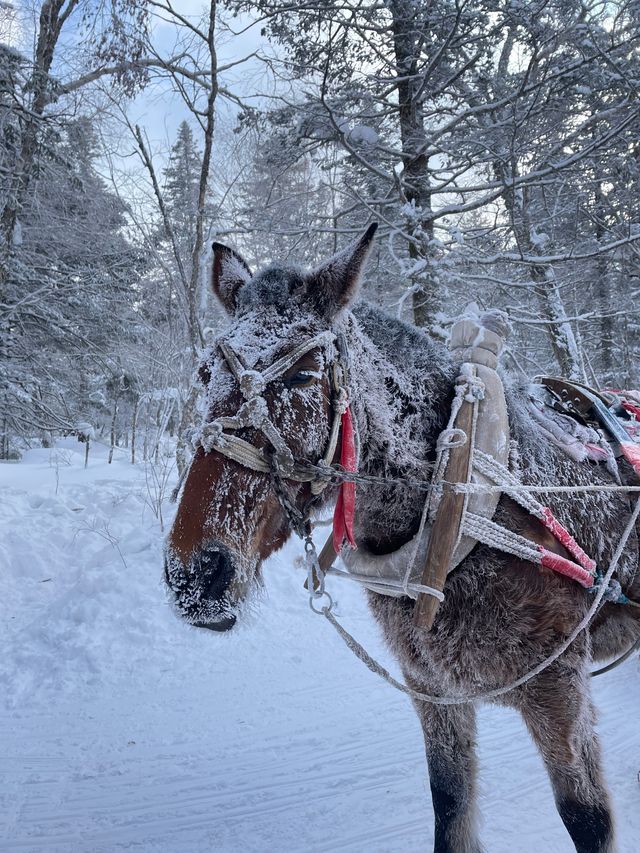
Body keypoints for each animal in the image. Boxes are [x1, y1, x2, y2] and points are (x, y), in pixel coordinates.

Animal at [166, 226, 640, 852]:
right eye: (203, 374)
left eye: (301, 374)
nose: (195, 573)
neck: (457, 497)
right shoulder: (430, 686)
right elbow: (450, 805)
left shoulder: (557, 690)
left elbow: (588, 819)